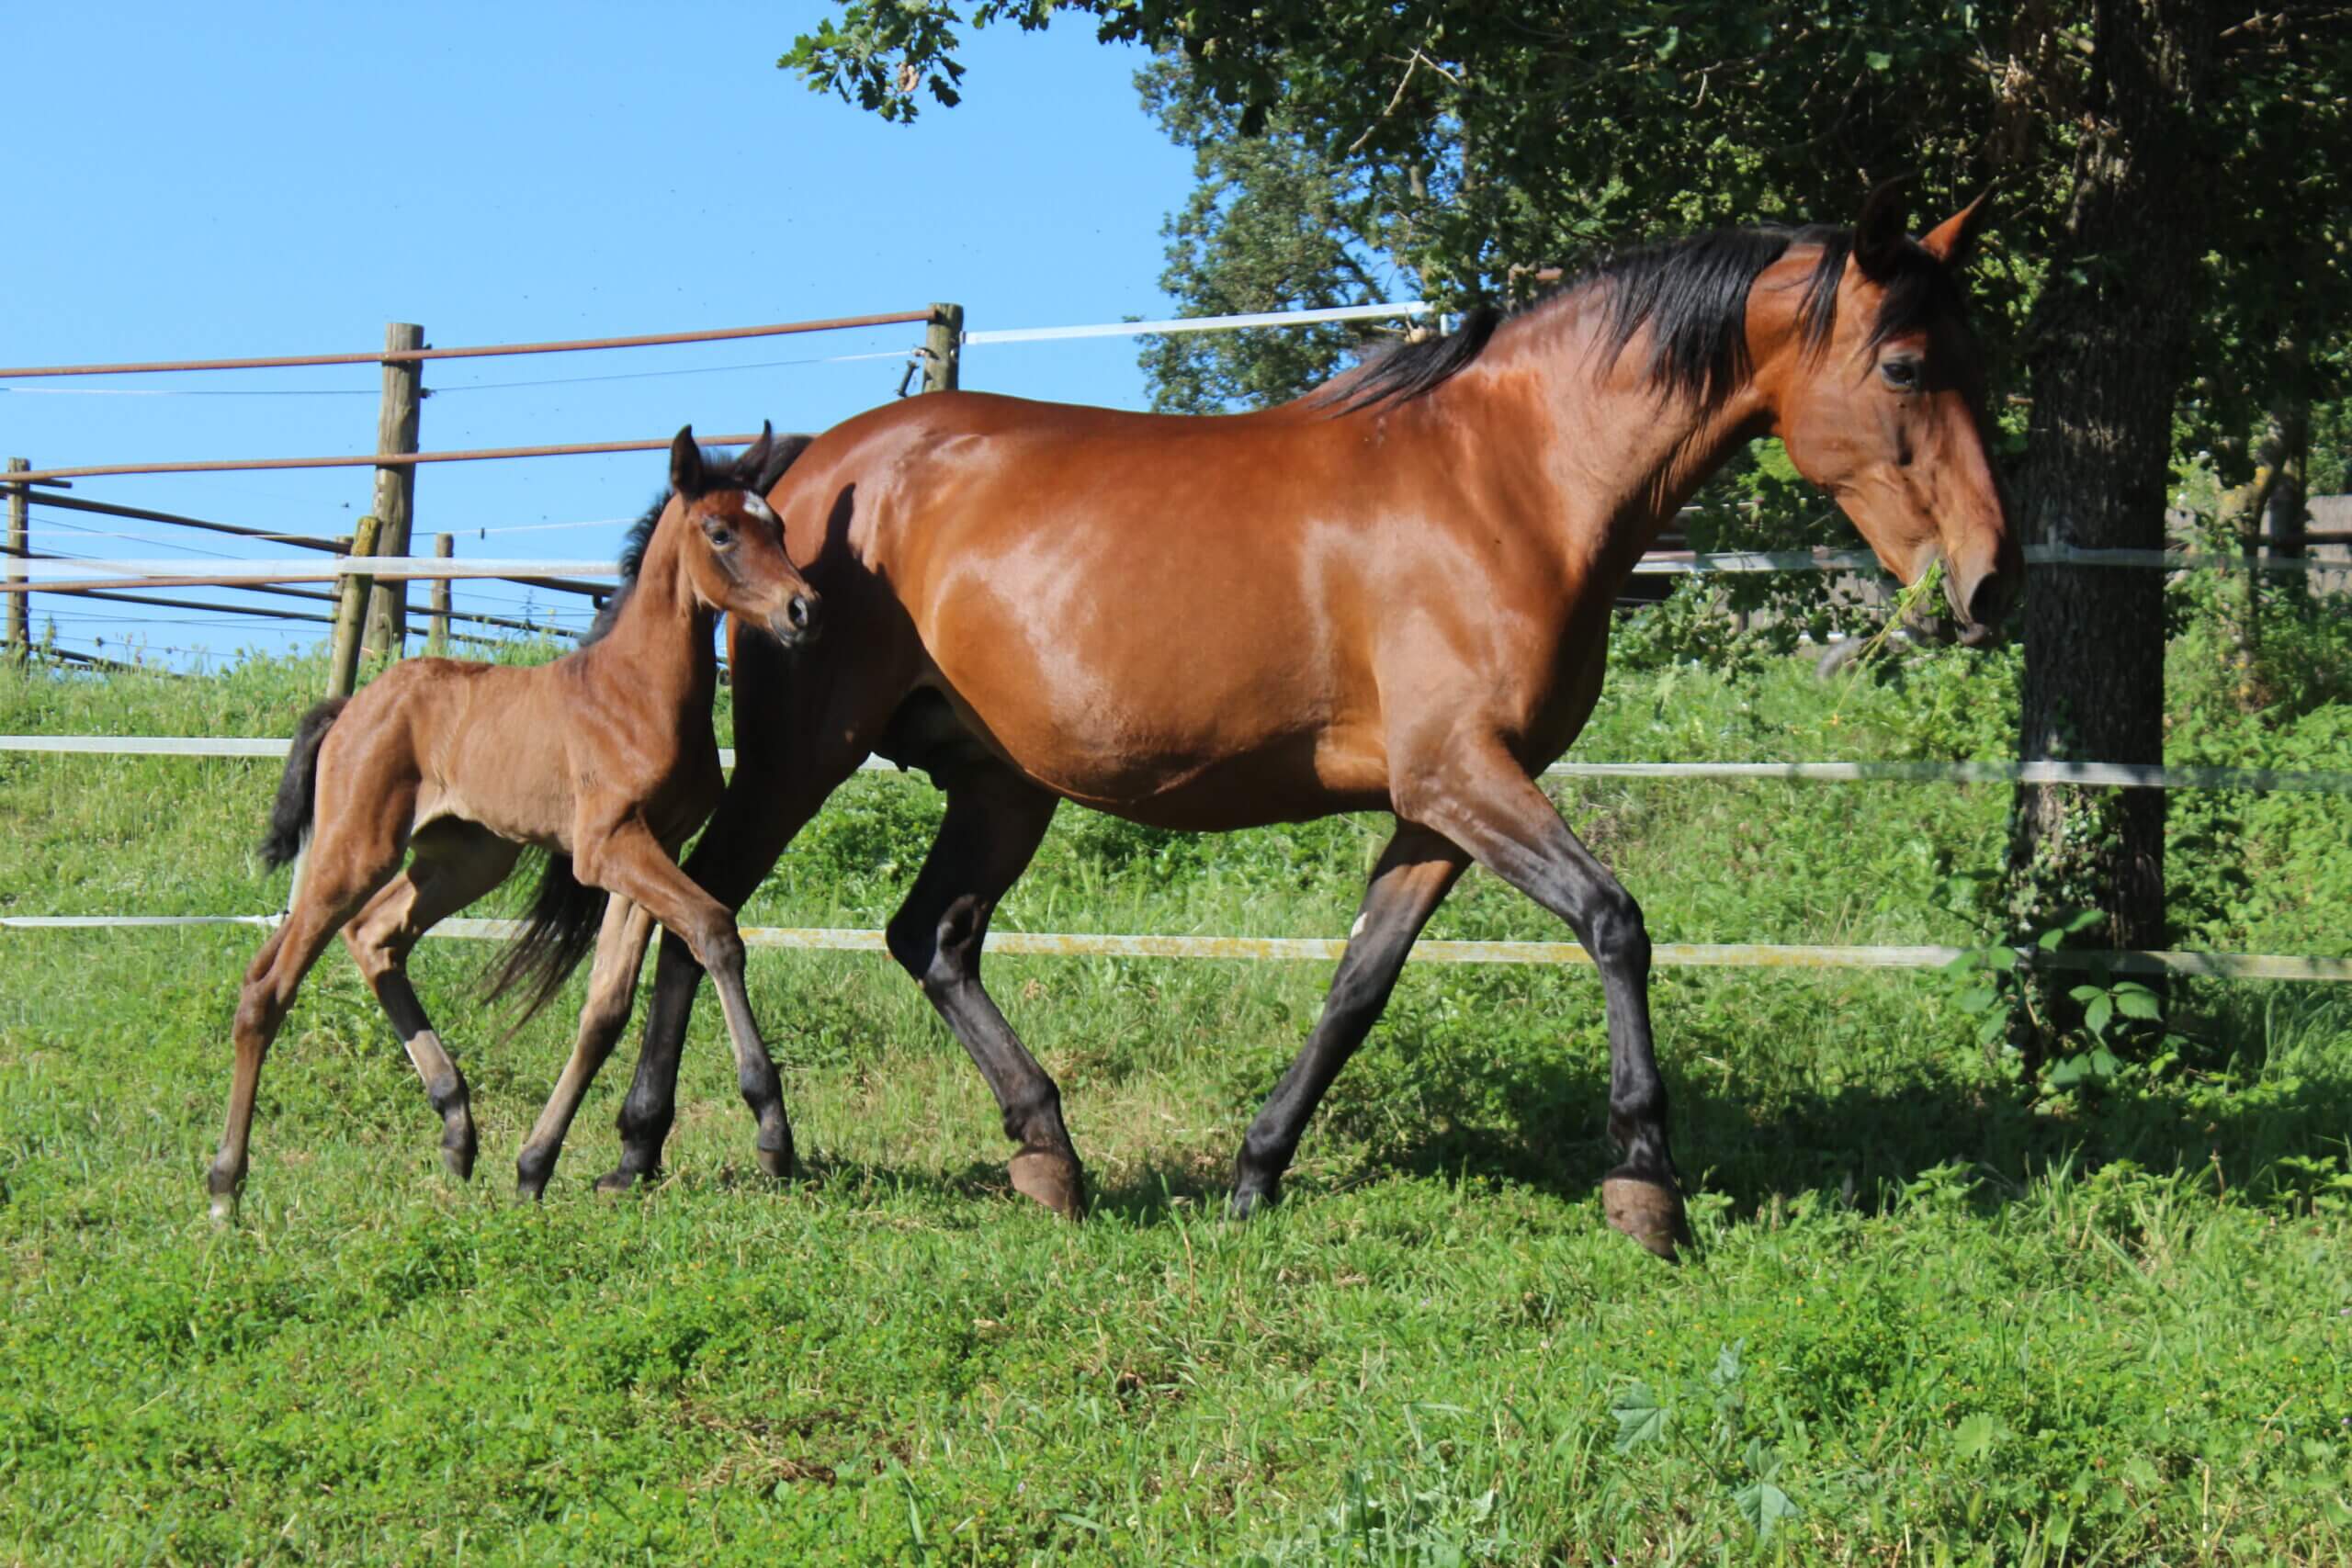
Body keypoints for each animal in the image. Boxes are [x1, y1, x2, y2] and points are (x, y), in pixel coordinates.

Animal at [213, 423, 818, 1222]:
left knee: (374, 936)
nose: (804, 610)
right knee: (268, 984)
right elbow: (716, 930)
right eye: (721, 532)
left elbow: (606, 1007)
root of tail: (350, 708)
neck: (637, 690)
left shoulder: (651, 844)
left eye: (776, 526)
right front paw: (773, 1129)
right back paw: (224, 1184)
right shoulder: (607, 846)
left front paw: (535, 1163)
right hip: (355, 848)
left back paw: (457, 1126)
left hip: (466, 858)